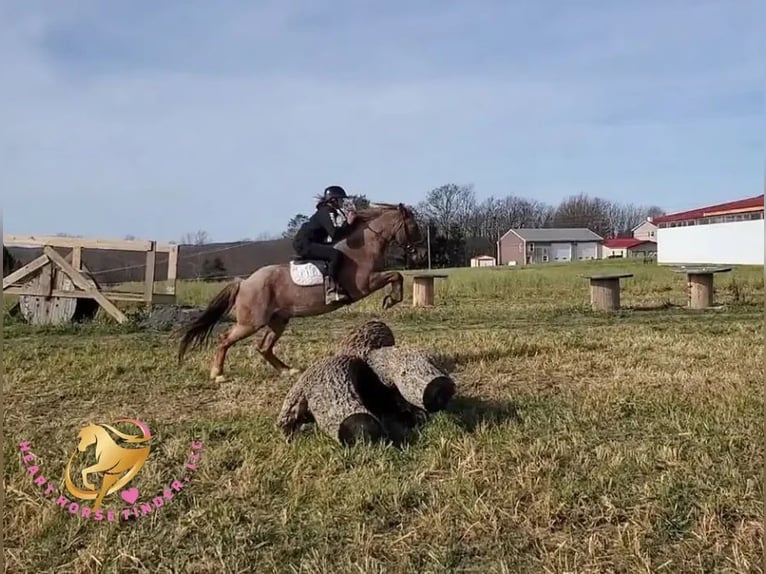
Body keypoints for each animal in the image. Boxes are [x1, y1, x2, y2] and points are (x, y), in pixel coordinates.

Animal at [177, 202, 424, 382]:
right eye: (413, 227)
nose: (419, 252)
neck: (361, 249)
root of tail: (244, 282)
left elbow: (396, 276)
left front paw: (391, 299)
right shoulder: (364, 284)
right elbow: (396, 275)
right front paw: (391, 299)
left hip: (278, 320)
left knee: (263, 347)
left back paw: (288, 371)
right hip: (251, 322)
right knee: (225, 339)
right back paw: (218, 375)